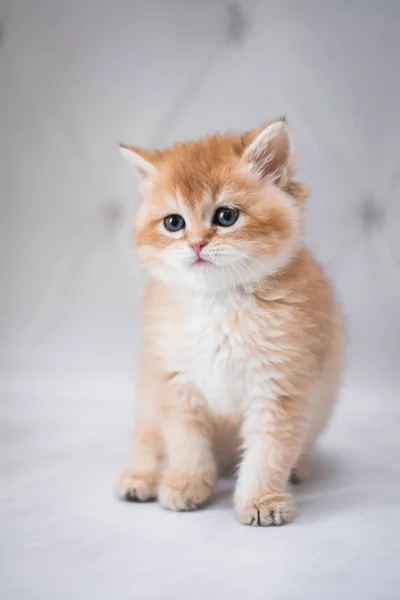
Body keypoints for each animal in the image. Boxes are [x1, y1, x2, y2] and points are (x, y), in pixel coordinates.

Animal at [116, 118, 344, 524]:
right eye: (173, 223)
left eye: (226, 216)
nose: (196, 244)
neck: (219, 305)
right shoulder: (175, 384)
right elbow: (186, 443)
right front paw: (184, 485)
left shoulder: (280, 388)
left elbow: (268, 454)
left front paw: (261, 501)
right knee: (147, 438)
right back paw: (140, 478)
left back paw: (297, 469)